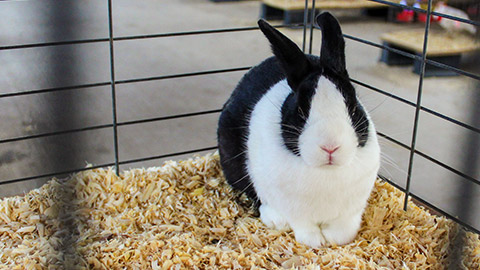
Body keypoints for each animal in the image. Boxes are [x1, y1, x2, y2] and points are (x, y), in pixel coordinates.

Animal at [218, 13, 378, 249]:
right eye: (301, 111)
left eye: (353, 107)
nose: (331, 147)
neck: (326, 173)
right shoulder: (296, 213)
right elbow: (305, 229)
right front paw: (316, 241)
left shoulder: (351, 213)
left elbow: (343, 233)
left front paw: (331, 239)